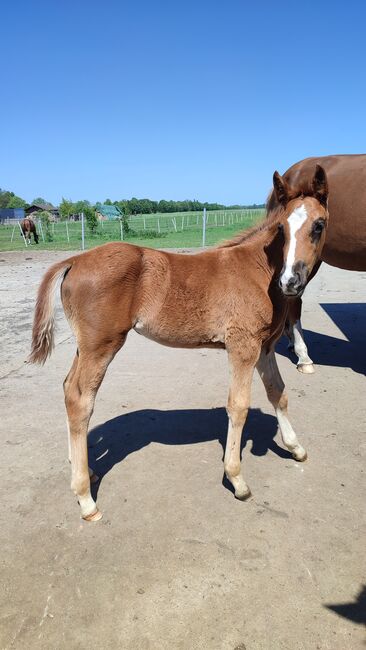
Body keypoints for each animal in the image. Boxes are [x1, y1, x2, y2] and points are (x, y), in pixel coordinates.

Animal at [30, 165, 328, 520]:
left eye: (319, 225)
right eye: (282, 227)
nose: (290, 281)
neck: (260, 272)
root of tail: (75, 260)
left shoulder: (264, 347)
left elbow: (278, 393)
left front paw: (296, 448)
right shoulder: (242, 346)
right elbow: (238, 406)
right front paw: (237, 479)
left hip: (85, 346)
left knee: (67, 388)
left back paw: (86, 470)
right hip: (101, 346)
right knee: (79, 400)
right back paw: (86, 499)